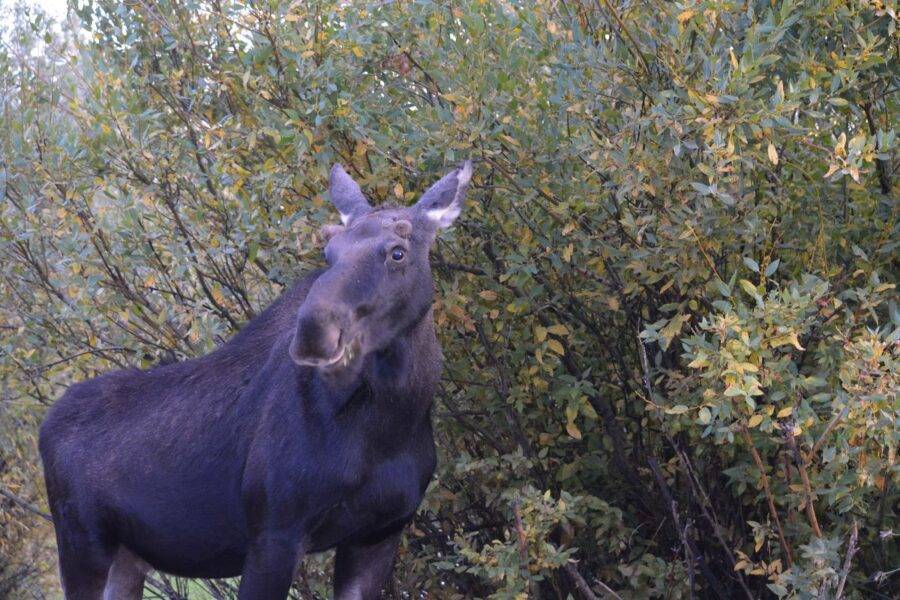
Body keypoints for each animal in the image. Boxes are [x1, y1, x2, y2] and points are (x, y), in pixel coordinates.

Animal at [39, 161, 474, 600]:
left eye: (397, 252)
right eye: (328, 252)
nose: (314, 330)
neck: (393, 421)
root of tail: (45, 428)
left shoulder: (378, 535)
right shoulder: (275, 531)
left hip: (126, 558)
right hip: (82, 545)